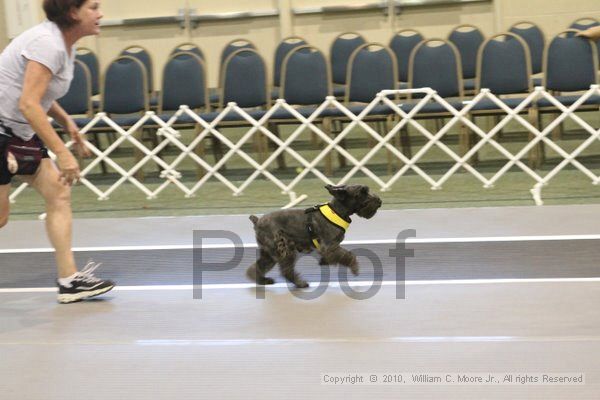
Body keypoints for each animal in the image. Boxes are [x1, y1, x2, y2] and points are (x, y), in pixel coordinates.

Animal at [246, 184, 382, 288]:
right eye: (362, 192)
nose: (379, 201)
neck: (337, 211)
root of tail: (257, 221)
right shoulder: (329, 246)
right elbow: (348, 255)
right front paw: (354, 267)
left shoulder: (331, 247)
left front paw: (325, 262)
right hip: (283, 251)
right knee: (286, 271)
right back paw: (300, 284)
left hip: (269, 254)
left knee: (256, 267)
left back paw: (263, 281)